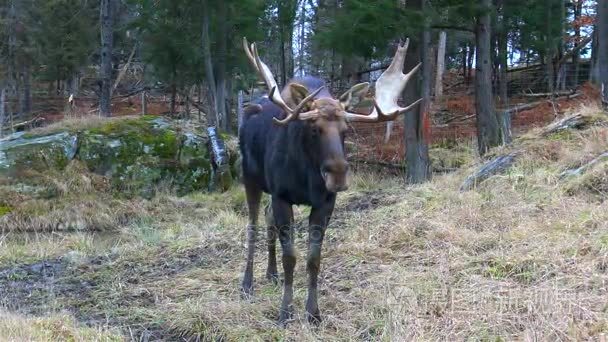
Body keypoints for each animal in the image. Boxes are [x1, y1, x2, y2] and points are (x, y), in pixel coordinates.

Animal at [240, 36, 420, 324]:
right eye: (314, 129)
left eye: (345, 131)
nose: (338, 174)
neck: (306, 177)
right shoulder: (281, 195)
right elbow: (290, 257)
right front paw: (285, 311)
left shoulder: (325, 202)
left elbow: (314, 258)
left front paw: (313, 313)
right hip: (250, 178)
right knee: (253, 224)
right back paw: (246, 284)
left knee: (267, 220)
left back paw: (271, 274)